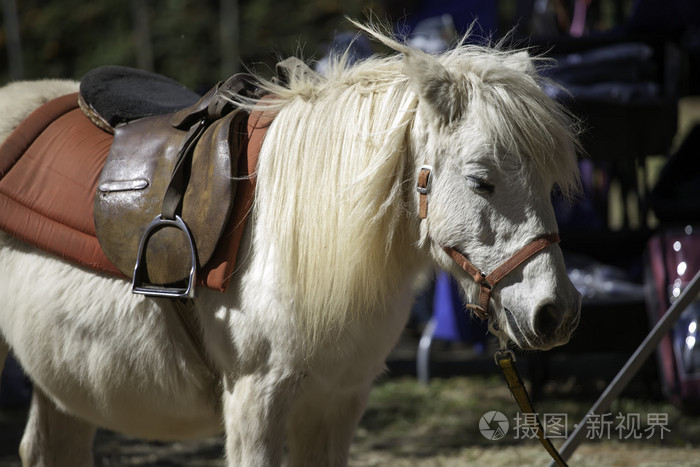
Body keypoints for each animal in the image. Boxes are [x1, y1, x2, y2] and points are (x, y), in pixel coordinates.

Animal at [0, 24, 580, 467]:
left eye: (550, 183)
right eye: (482, 180)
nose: (557, 313)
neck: (294, 241)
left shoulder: (338, 402)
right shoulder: (255, 401)